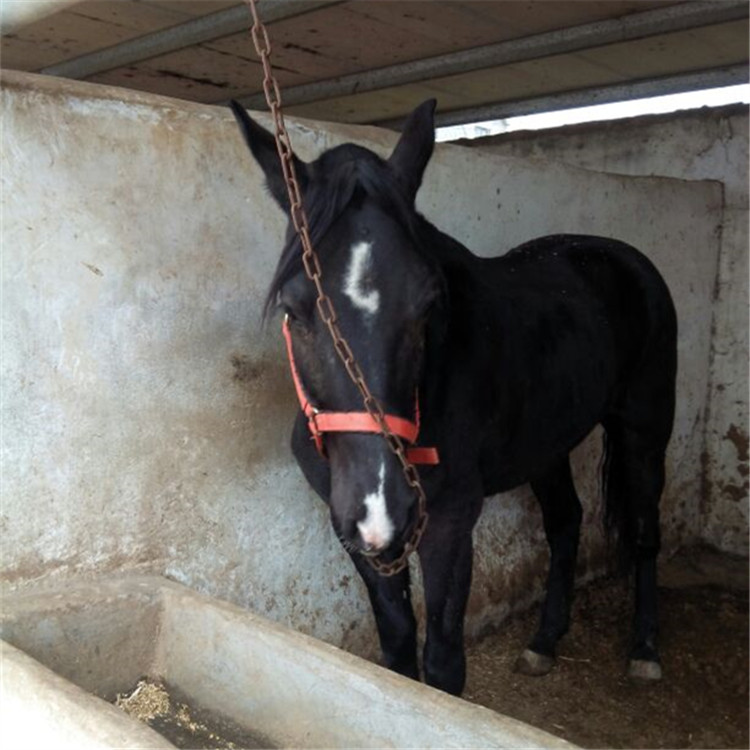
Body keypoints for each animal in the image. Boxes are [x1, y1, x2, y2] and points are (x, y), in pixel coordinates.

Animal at [229, 98, 677, 696]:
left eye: (427, 305)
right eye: (293, 308)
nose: (383, 504)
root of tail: (622, 258)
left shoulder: (448, 524)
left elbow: (442, 664)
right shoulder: (354, 531)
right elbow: (397, 646)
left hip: (644, 429)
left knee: (646, 533)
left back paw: (645, 650)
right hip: (547, 444)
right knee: (565, 523)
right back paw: (543, 643)